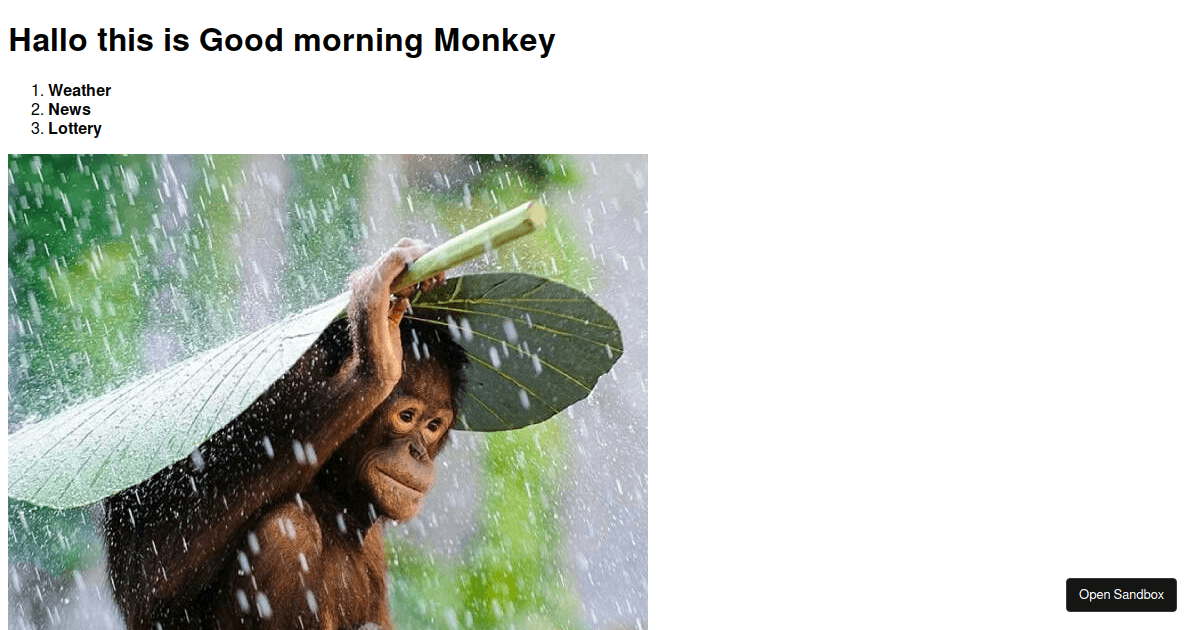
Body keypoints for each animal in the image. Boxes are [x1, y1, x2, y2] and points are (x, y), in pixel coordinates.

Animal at [103, 238, 468, 629]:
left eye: (433, 426)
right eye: (406, 416)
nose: (418, 451)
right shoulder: (266, 390)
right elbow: (151, 575)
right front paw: (376, 344)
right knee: (285, 528)